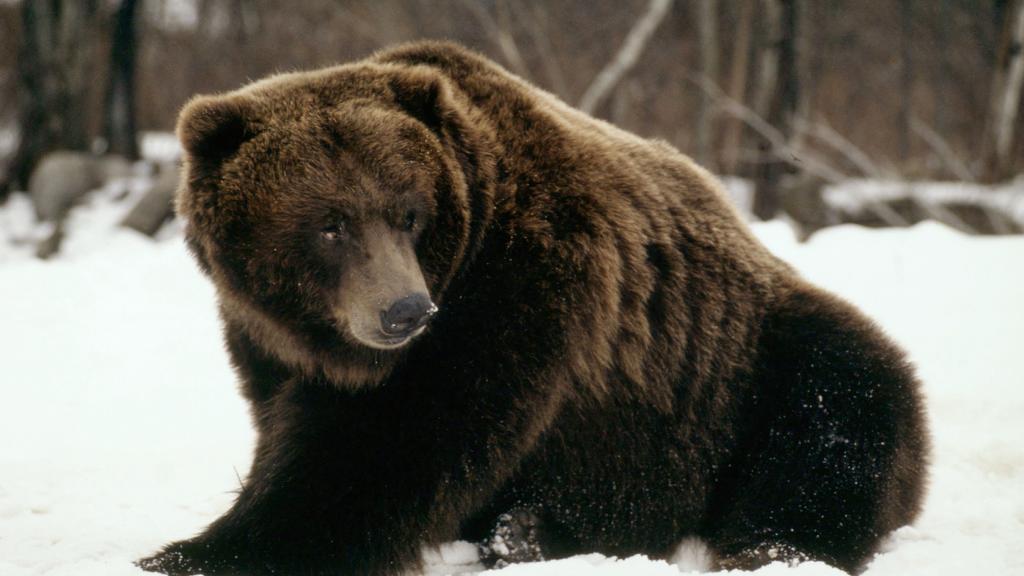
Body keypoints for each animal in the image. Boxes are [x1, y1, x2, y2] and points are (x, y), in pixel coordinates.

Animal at [138, 41, 929, 575]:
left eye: (409, 213)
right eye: (330, 223)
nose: (404, 311)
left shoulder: (516, 289)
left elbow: (383, 450)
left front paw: (192, 551)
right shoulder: (267, 338)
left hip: (747, 368)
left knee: (837, 419)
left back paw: (764, 546)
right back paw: (524, 529)